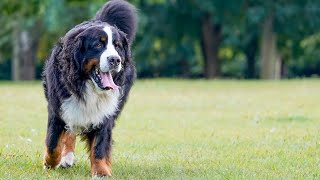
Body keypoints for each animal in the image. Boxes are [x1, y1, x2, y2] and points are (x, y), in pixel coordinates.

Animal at [42, 0, 137, 177]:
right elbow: (53, 144)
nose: (115, 59)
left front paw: (101, 172)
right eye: (98, 44)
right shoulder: (58, 108)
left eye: (117, 46)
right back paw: (66, 158)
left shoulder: (106, 113)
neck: (89, 87)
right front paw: (49, 163)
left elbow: (99, 146)